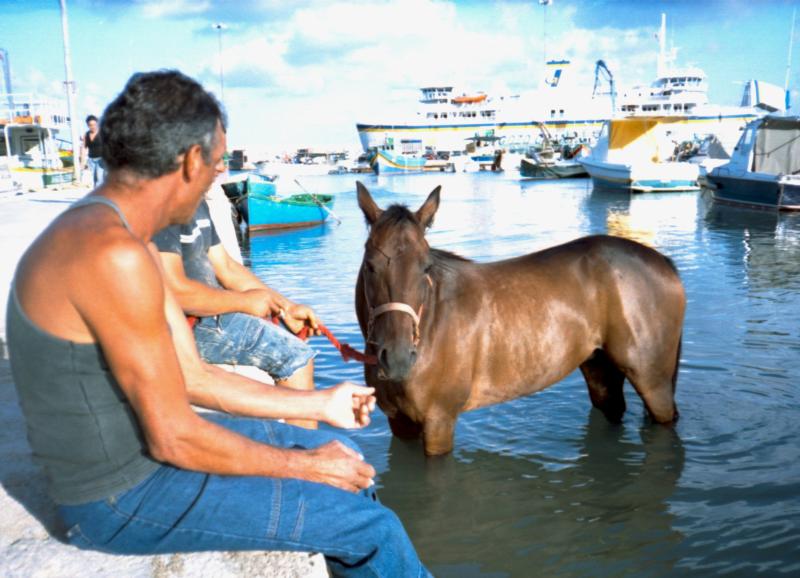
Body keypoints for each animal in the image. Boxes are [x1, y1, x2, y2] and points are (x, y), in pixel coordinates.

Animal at [356, 181, 688, 454]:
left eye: (425, 267)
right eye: (371, 266)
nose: (397, 358)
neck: (431, 324)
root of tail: (663, 262)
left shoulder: (439, 422)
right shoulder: (400, 424)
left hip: (652, 380)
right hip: (600, 369)